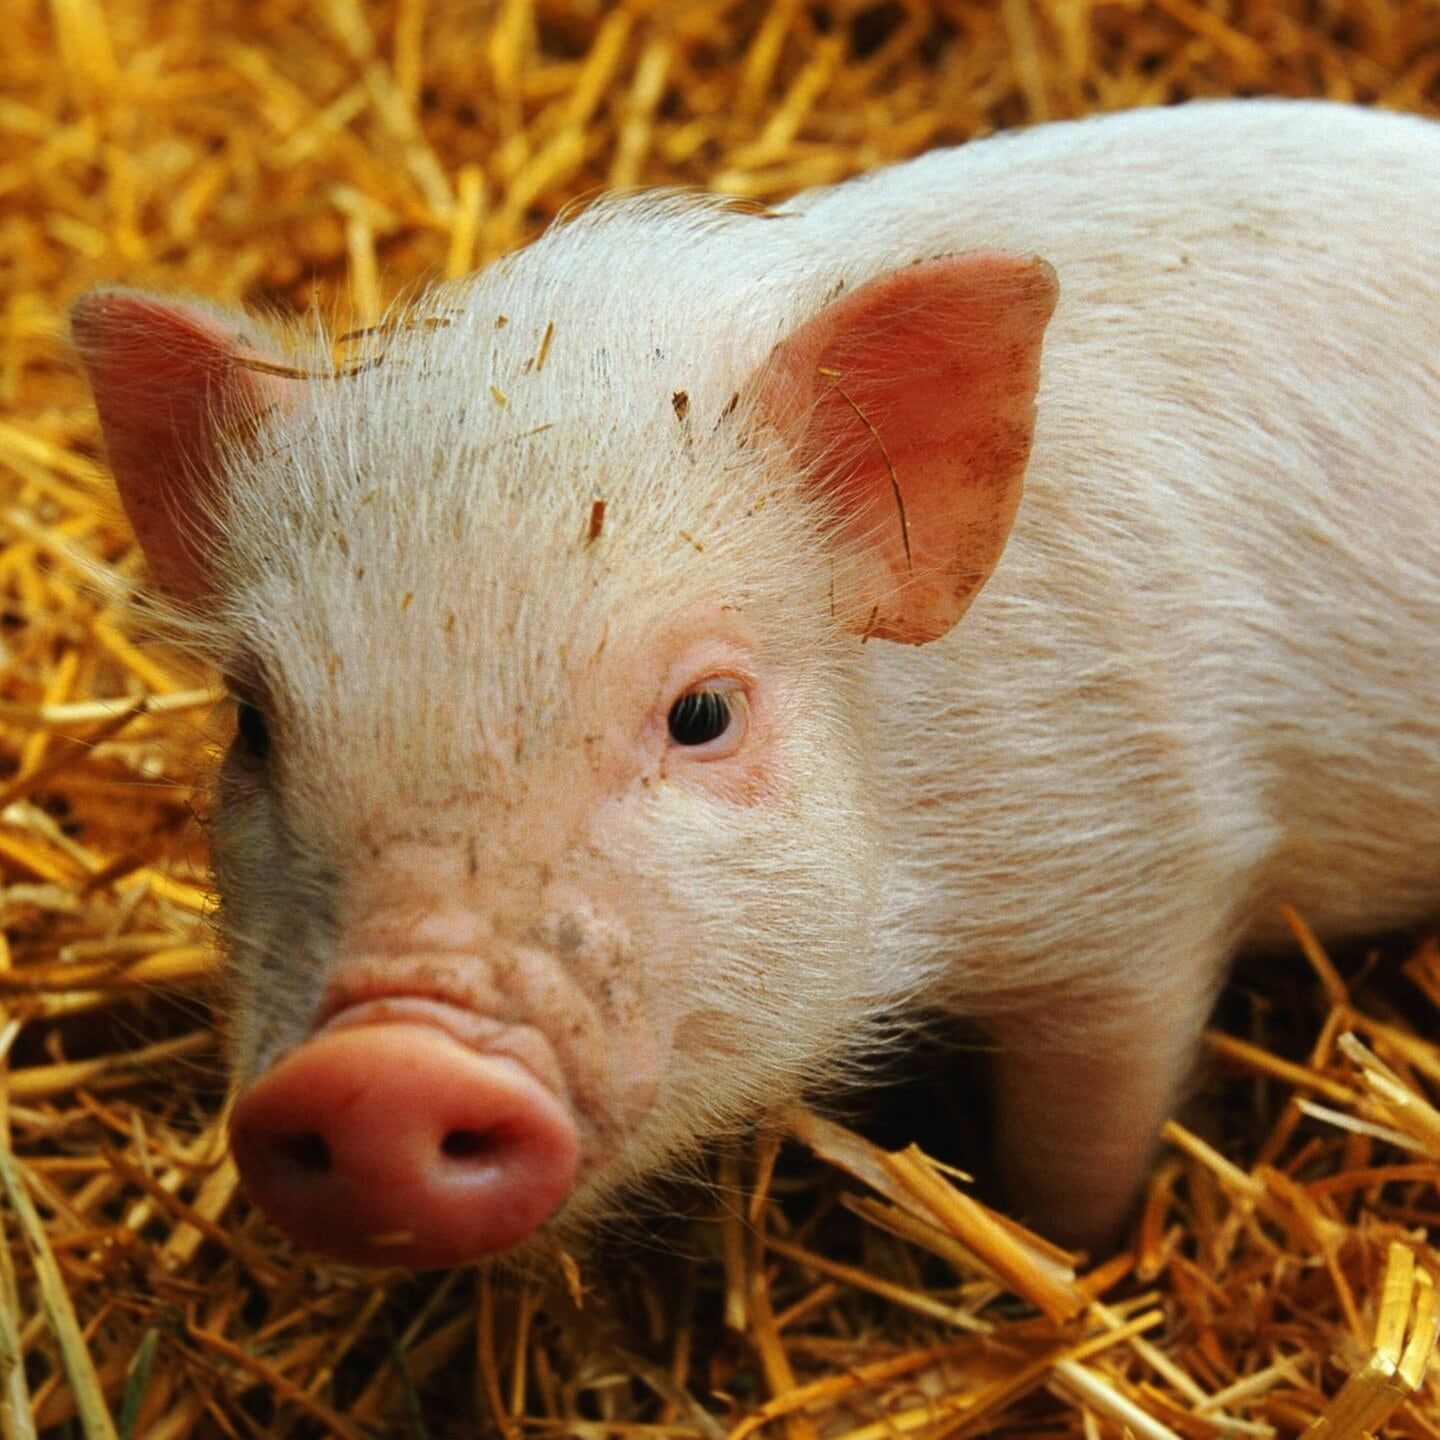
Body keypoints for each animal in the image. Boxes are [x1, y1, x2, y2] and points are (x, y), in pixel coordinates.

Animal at [72, 98, 1440, 1267]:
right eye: (254, 724)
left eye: (703, 713)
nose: (381, 1072)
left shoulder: (1147, 865)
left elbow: (1086, 1140)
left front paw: (1064, 1253)